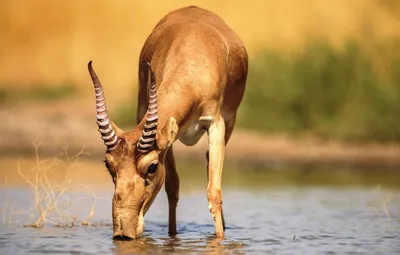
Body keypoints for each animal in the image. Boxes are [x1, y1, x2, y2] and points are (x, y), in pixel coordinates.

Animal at [88, 5, 247, 239]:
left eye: (152, 167)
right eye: (109, 165)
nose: (123, 233)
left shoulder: (215, 124)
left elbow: (214, 193)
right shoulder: (164, 134)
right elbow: (172, 187)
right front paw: (173, 238)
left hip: (230, 123)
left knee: (209, 164)